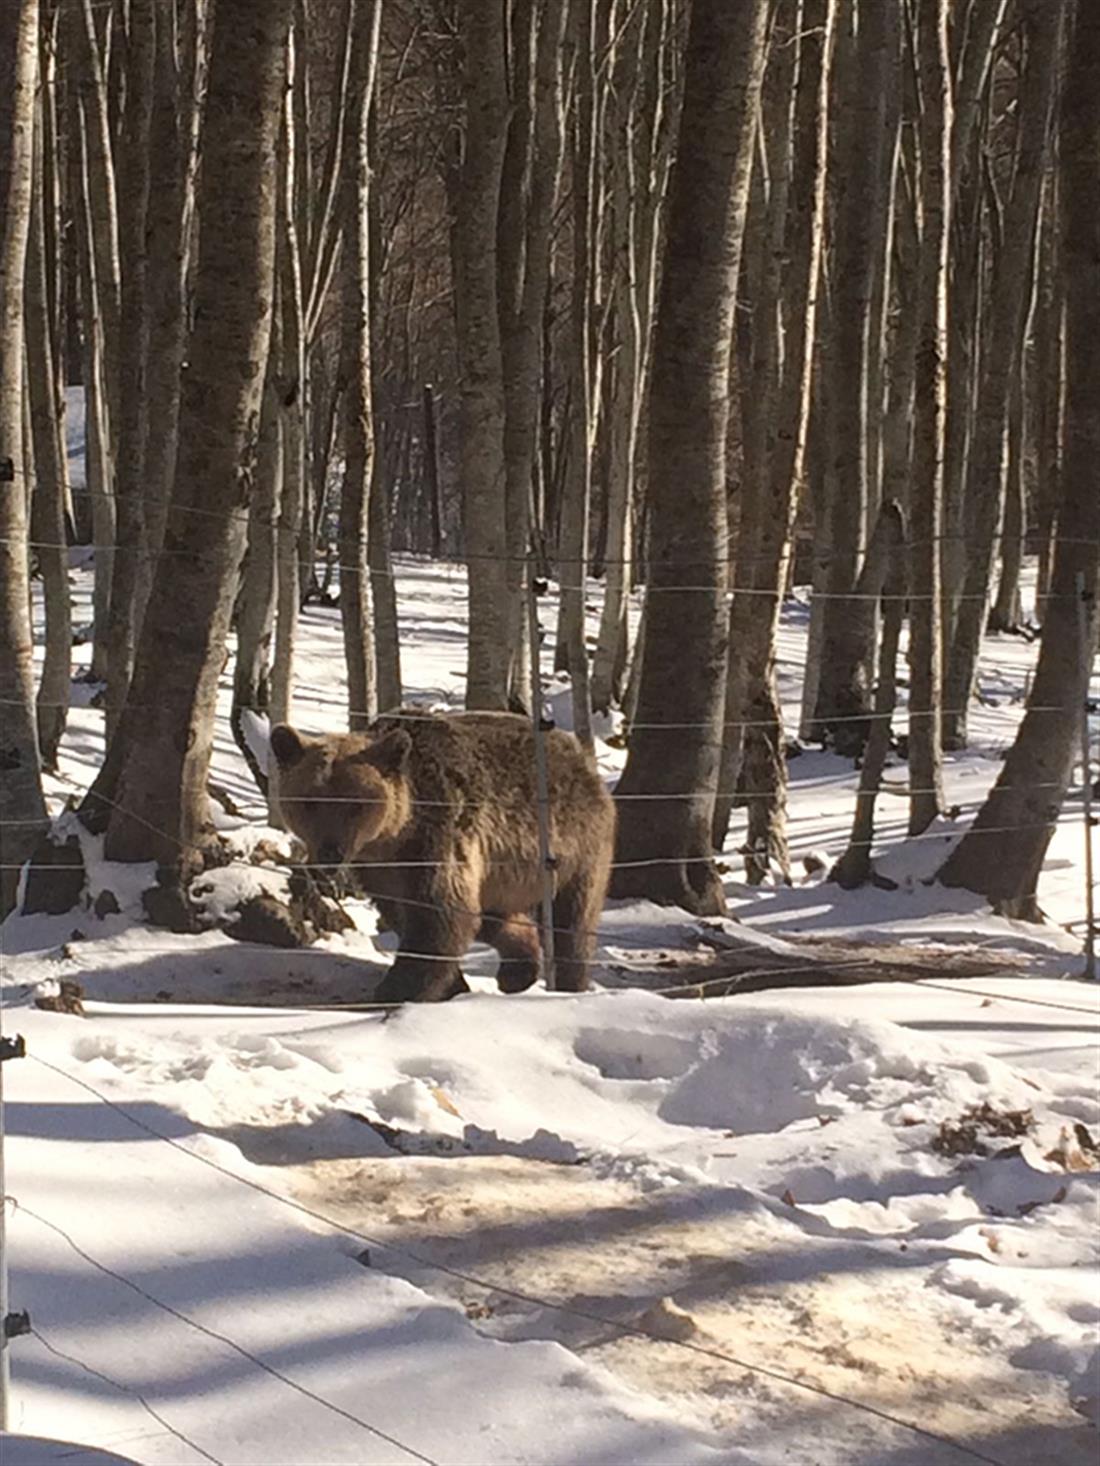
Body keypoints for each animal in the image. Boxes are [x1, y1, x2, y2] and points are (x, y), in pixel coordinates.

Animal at [265, 706, 616, 1002]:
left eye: (355, 804)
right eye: (309, 801)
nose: (330, 852)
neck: (395, 833)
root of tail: (578, 754)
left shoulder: (436, 838)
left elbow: (439, 914)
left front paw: (396, 990)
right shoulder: (381, 867)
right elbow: (408, 913)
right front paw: (451, 985)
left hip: (577, 848)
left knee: (573, 920)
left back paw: (569, 985)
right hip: (506, 871)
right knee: (493, 916)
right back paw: (517, 971)